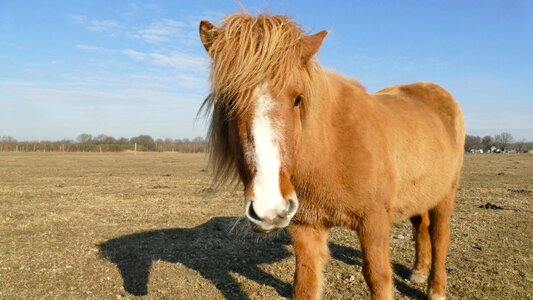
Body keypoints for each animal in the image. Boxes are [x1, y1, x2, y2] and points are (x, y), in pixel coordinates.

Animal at [197, 12, 464, 300]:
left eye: (298, 99)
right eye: (228, 103)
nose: (269, 209)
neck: (331, 151)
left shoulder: (374, 223)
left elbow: (378, 278)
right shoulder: (306, 229)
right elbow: (305, 285)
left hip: (445, 194)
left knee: (439, 235)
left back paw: (435, 288)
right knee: (420, 225)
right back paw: (419, 271)